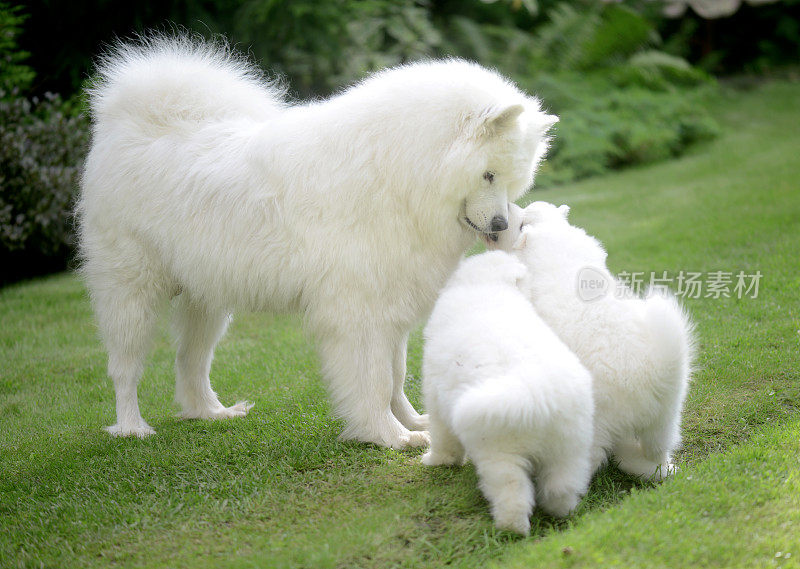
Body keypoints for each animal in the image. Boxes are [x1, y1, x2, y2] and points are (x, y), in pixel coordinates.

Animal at [78, 34, 560, 448]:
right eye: (488, 175)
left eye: (512, 181)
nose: (500, 224)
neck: (397, 174)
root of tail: (125, 125)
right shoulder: (358, 312)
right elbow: (374, 381)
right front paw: (388, 436)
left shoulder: (392, 305)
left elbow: (397, 376)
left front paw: (412, 422)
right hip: (131, 295)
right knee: (125, 370)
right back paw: (132, 427)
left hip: (208, 301)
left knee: (190, 363)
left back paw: (212, 413)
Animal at [418, 251, 592, 536]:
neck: (485, 285)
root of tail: (537, 395)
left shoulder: (435, 397)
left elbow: (444, 440)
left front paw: (436, 461)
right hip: (570, 447)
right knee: (561, 486)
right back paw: (561, 513)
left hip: (500, 455)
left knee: (513, 492)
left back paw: (510, 528)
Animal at [500, 202, 692, 478]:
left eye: (521, 223)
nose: (506, 206)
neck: (553, 231)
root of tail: (657, 374)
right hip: (664, 424)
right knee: (653, 460)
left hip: (594, 423)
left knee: (585, 463)